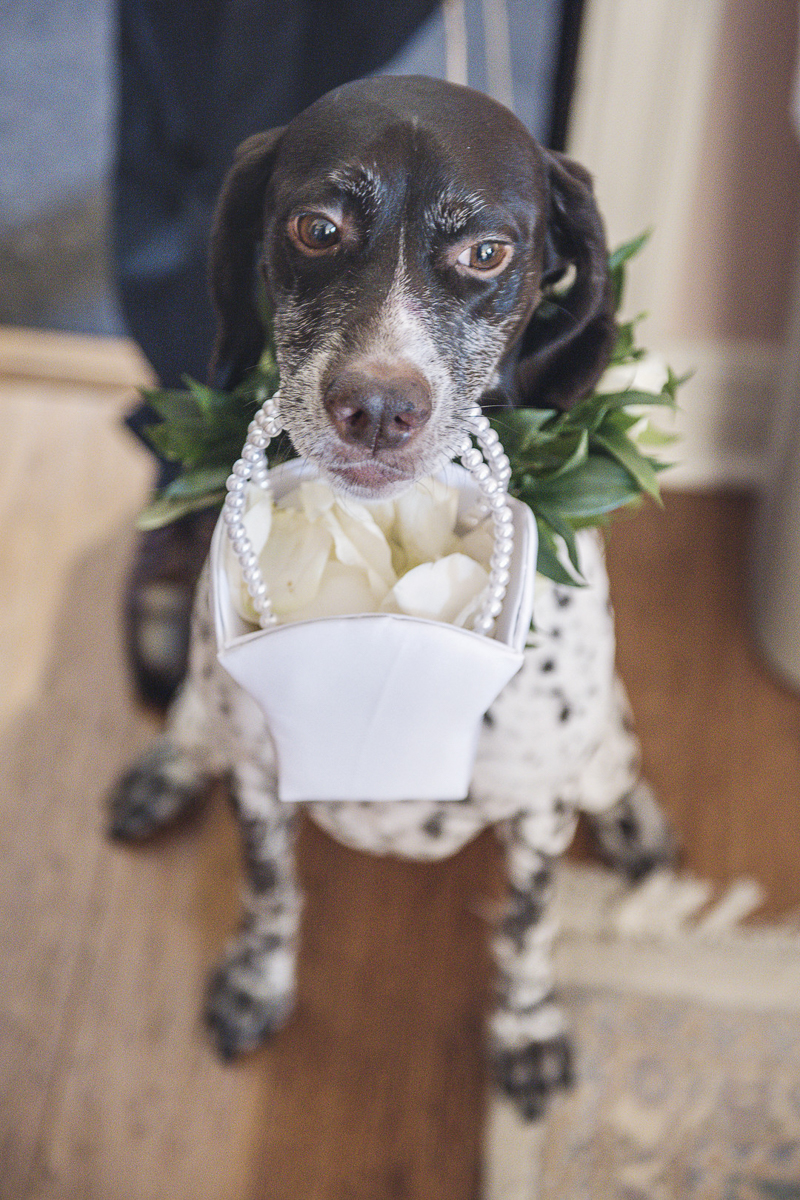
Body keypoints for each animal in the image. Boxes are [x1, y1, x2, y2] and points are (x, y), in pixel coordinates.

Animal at [110, 79, 676, 1118]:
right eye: (317, 227)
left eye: (487, 251)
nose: (377, 408)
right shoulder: (261, 780)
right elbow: (269, 892)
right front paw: (257, 982)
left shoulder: (538, 812)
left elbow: (528, 929)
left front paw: (526, 1031)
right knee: (192, 726)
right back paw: (166, 764)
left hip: (597, 755)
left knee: (614, 763)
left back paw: (634, 821)